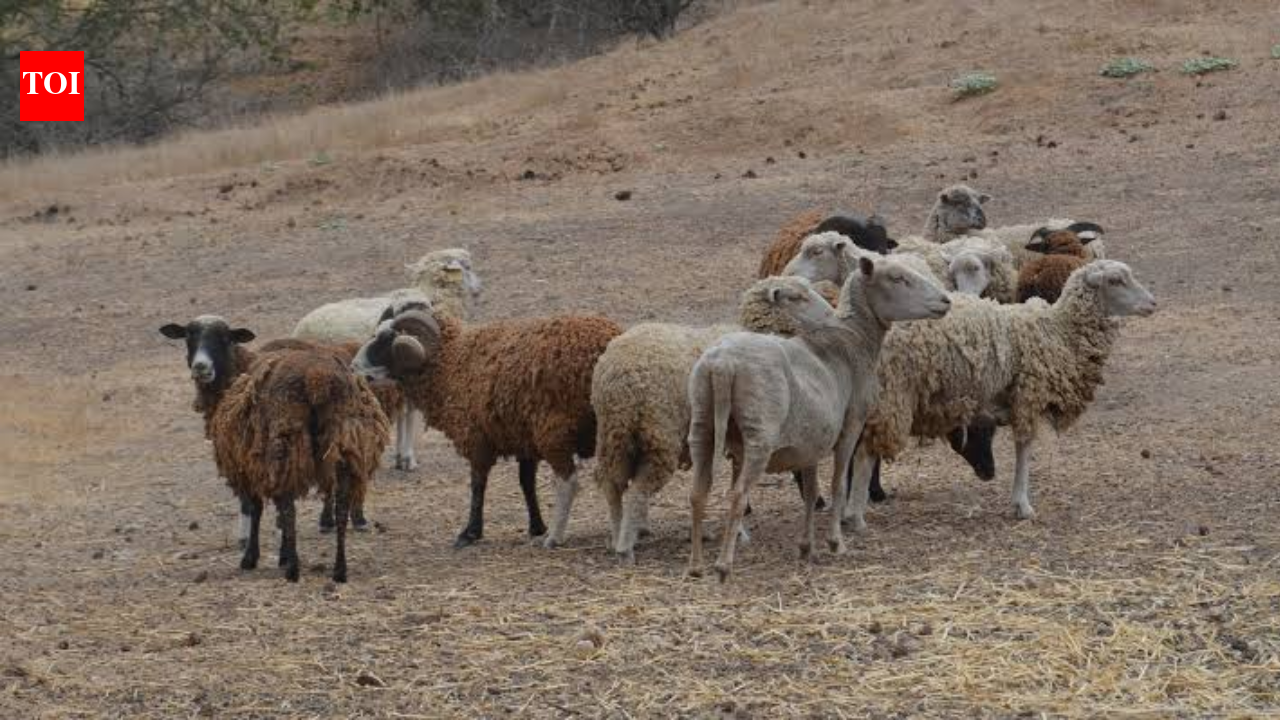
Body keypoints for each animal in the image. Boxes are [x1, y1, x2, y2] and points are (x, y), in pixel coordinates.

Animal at [159, 316, 390, 583]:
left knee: (290, 508)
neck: (238, 368)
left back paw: (294, 570)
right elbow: (276, 514)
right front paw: (282, 554)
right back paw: (339, 570)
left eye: (225, 338)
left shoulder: (245, 461)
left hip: (285, 444)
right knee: (340, 505)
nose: (201, 367)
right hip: (344, 441)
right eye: (188, 336)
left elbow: (255, 508)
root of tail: (318, 378)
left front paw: (253, 557)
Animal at [351, 309, 622, 549]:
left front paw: (470, 533)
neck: (451, 364)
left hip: (555, 433)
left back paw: (555, 538)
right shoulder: (523, 439)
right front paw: (536, 526)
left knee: (569, 482)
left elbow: (478, 484)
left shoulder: (477, 438)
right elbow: (526, 483)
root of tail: (604, 345)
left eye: (387, 340)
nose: (354, 367)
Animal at [591, 276, 836, 564]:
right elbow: (737, 486)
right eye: (798, 297)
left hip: (616, 432)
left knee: (612, 485)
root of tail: (619, 373)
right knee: (639, 490)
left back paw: (617, 535)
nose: (832, 316)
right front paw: (739, 532)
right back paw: (625, 548)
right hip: (658, 434)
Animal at [686, 255, 952, 581]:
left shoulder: (811, 440)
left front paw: (806, 547)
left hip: (702, 425)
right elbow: (838, 483)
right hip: (759, 435)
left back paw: (696, 566)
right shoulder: (852, 424)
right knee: (737, 495)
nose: (946, 300)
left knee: (697, 494)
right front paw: (836, 542)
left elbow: (812, 492)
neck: (855, 339)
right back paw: (723, 566)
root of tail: (722, 364)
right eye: (898, 278)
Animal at [841, 259, 1156, 531]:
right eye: (1115, 281)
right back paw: (855, 516)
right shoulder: (1028, 397)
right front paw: (1022, 505)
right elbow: (1024, 449)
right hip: (893, 395)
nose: (1153, 303)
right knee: (865, 455)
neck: (1058, 330)